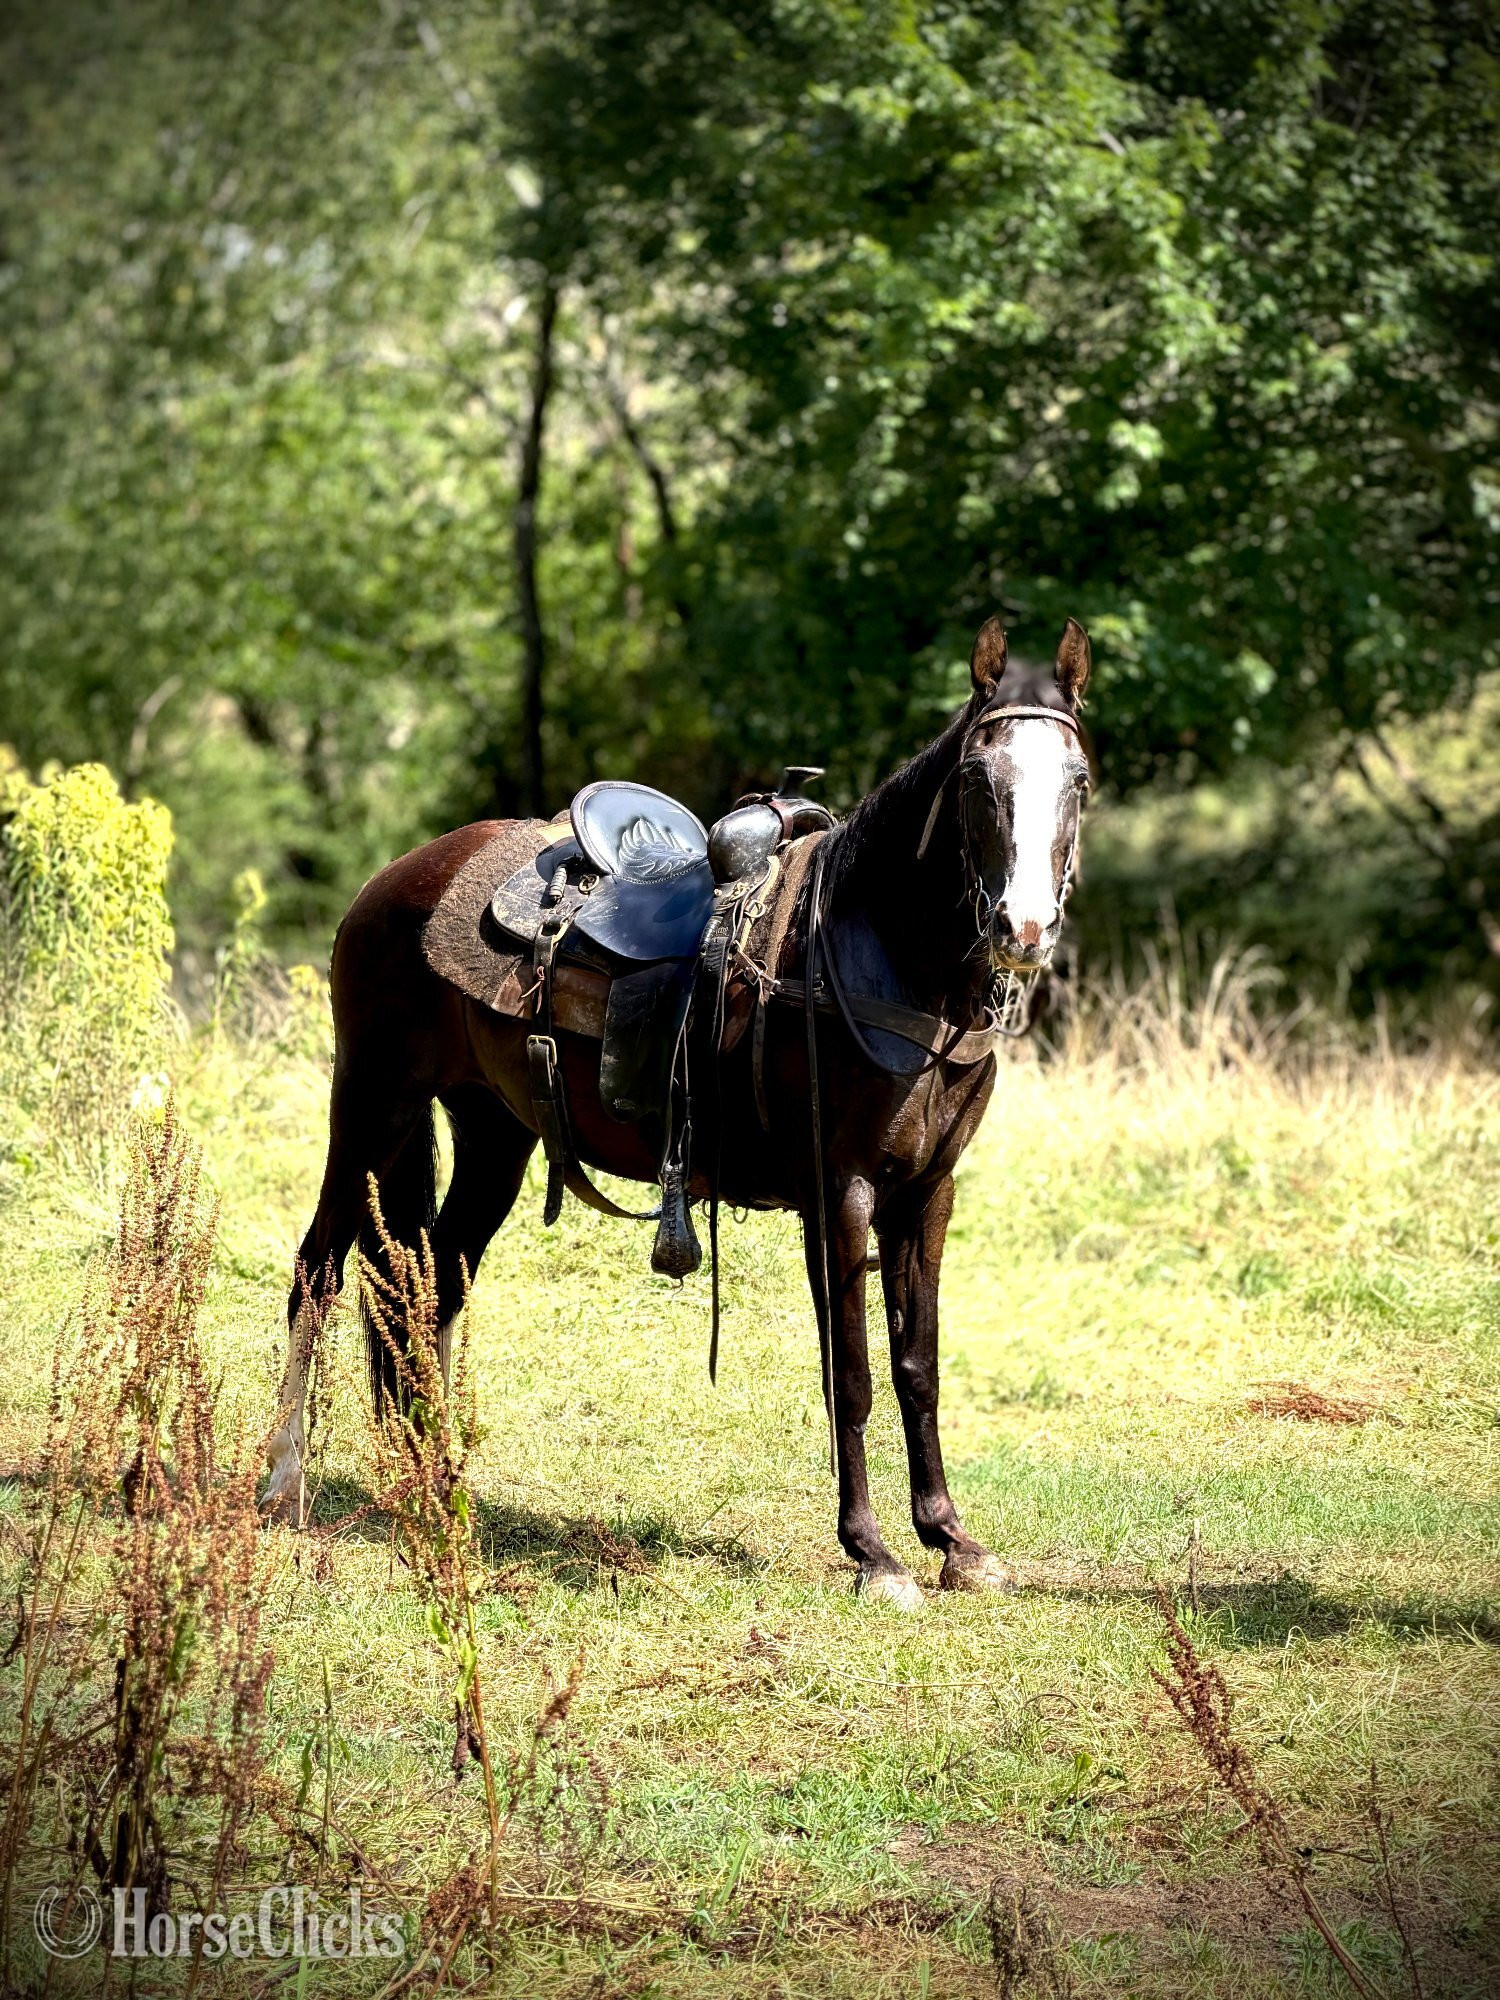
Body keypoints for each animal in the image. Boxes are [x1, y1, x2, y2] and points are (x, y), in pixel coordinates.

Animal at [263, 614, 1092, 1609]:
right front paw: (875, 1555)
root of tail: (394, 880)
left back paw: (434, 1487)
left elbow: (917, 1367)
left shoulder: (929, 1192)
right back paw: (283, 1486)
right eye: (977, 779)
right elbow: (851, 1376)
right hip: (371, 1101)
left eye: (1079, 780)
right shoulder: (841, 1194)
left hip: (492, 1132)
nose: (1023, 931)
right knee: (318, 1271)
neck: (877, 954)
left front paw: (952, 1541)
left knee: (433, 1282)